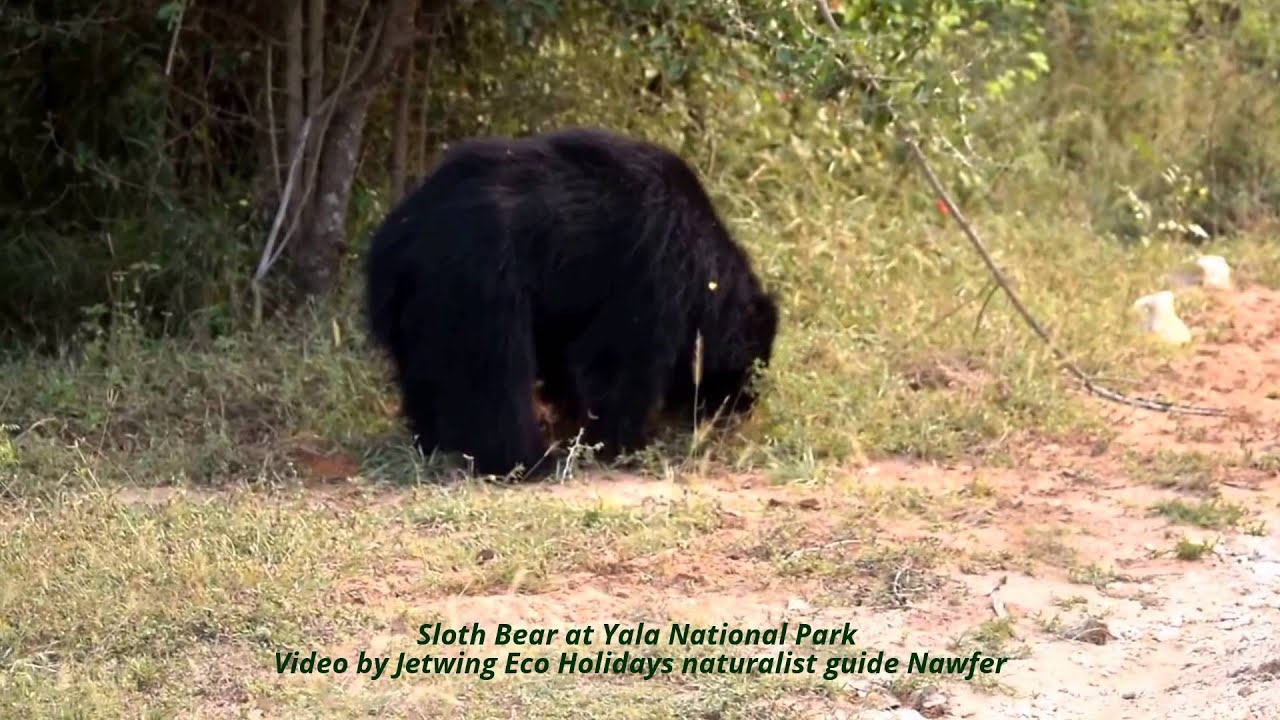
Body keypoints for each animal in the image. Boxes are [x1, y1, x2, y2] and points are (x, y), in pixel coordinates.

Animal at [364, 126, 779, 479]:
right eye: (750, 369)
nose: (743, 410)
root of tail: (402, 237)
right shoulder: (650, 274)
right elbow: (618, 363)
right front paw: (627, 443)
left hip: (415, 304)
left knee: (425, 373)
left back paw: (434, 442)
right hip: (478, 284)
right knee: (493, 376)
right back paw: (528, 461)